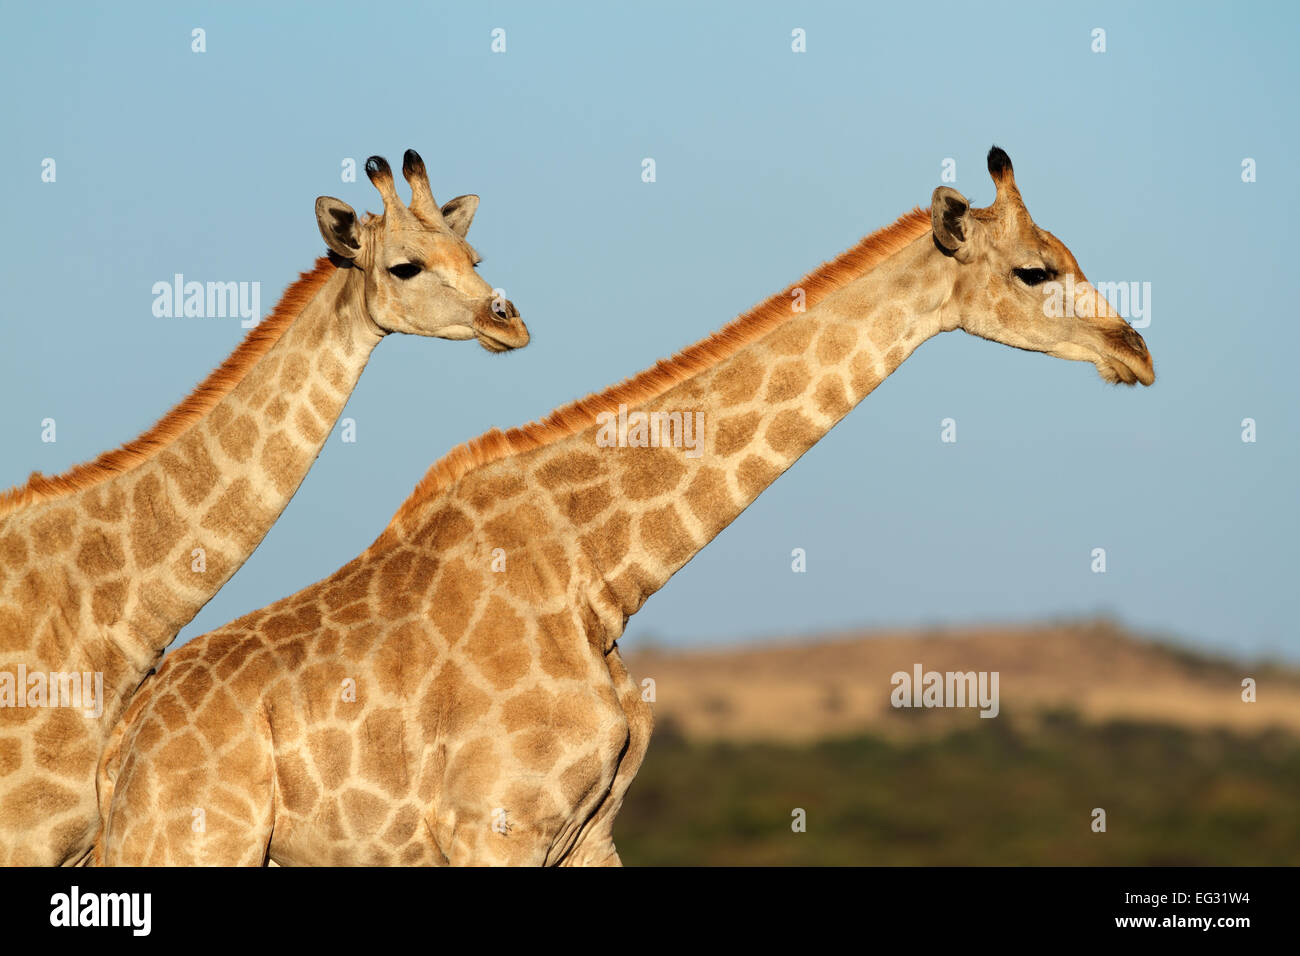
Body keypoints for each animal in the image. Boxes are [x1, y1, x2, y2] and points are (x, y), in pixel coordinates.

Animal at [95, 147, 1152, 866]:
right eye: (1033, 270)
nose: (1135, 349)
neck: (602, 574)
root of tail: (117, 752)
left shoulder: (588, 831)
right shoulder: (497, 825)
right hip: (197, 845)